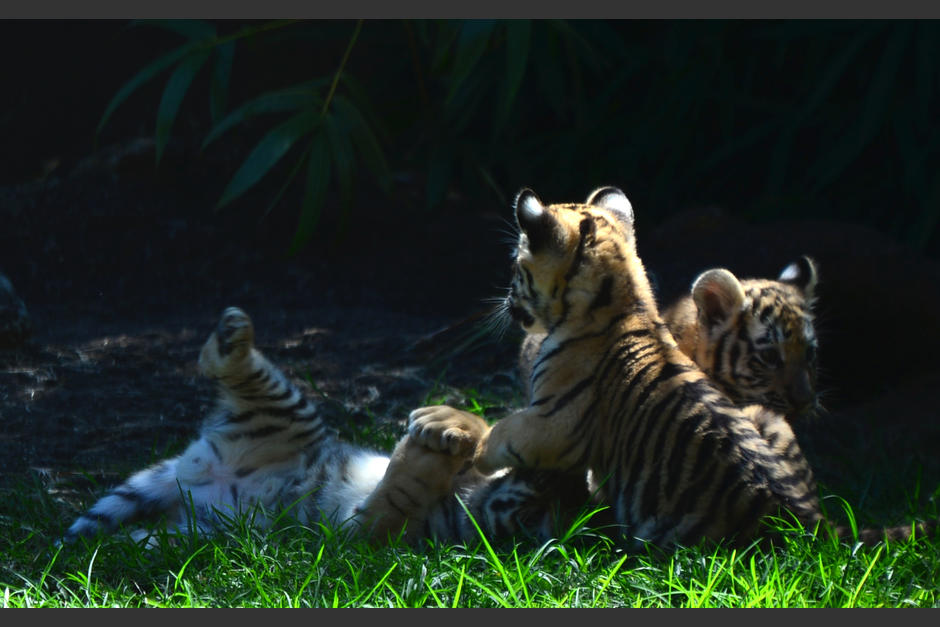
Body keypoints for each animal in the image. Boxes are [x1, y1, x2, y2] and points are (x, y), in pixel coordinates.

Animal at [63, 306, 478, 546]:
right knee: (225, 364)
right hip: (290, 413)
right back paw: (231, 332)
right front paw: (453, 426)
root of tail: (199, 470)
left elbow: (399, 495)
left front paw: (436, 452)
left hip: (207, 525)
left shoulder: (366, 531)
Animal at [406, 186, 937, 549]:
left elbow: (503, 432)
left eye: (517, 268)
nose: (508, 304)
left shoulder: (554, 423)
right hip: (761, 414)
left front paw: (472, 455)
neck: (623, 302)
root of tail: (813, 523)